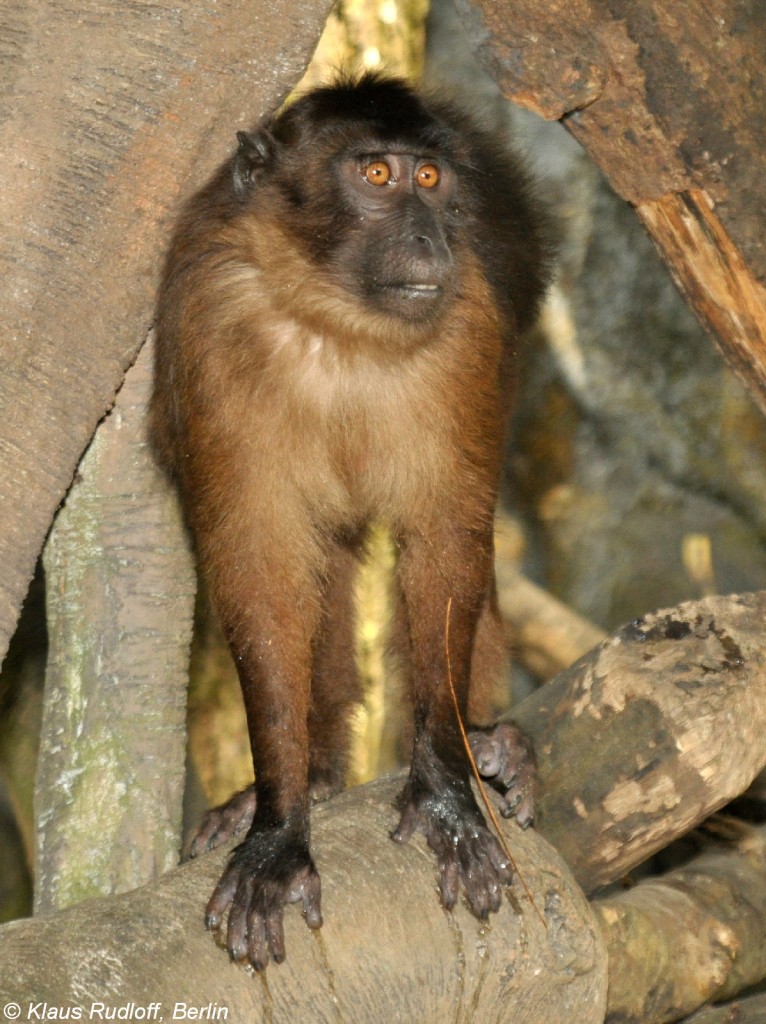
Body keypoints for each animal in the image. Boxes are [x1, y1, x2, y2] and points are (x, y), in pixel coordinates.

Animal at [152, 72, 548, 966]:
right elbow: (263, 570)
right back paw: (324, 771)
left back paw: (489, 745)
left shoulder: (466, 327)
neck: (336, 322)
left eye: (429, 179)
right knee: (321, 562)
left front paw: (446, 789)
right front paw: (278, 822)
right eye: (375, 176)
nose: (430, 237)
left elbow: (446, 545)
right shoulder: (211, 320)